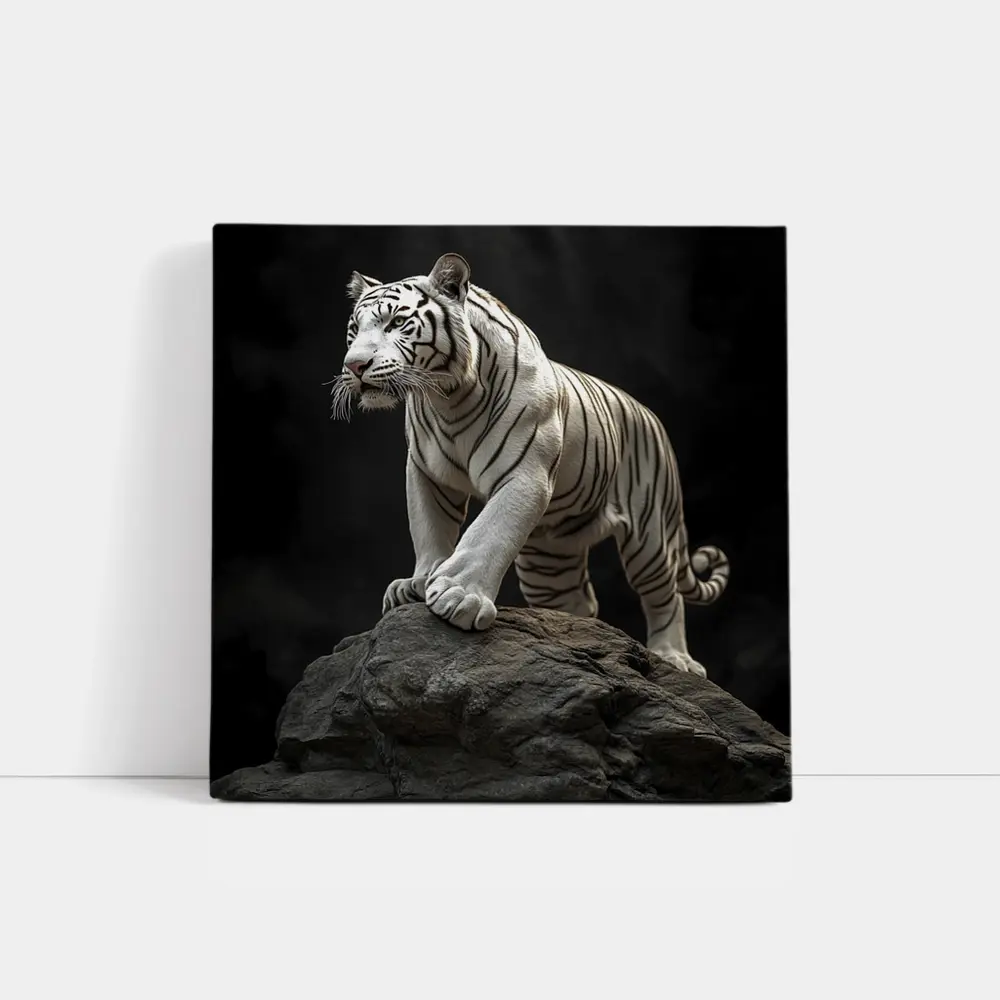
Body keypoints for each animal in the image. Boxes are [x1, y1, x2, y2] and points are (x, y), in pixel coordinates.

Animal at [330, 252, 729, 676]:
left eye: (396, 322)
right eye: (354, 330)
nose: (354, 366)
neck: (447, 397)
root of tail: (651, 416)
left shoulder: (524, 474)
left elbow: (488, 532)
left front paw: (459, 597)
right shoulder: (427, 473)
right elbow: (429, 529)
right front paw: (419, 583)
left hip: (650, 532)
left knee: (665, 595)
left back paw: (675, 657)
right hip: (548, 560)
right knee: (580, 601)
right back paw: (573, 635)